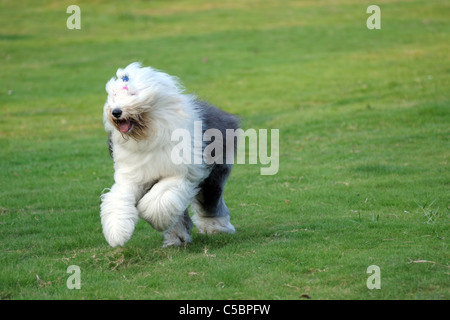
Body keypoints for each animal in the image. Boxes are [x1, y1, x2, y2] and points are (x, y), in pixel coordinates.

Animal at [98, 63, 239, 248]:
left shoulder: (178, 175)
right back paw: (176, 238)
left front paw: (148, 214)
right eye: (114, 96)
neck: (150, 135)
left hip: (214, 173)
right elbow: (119, 198)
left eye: (132, 94)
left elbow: (158, 201)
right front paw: (117, 232)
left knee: (210, 199)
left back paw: (216, 227)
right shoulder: (133, 175)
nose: (115, 112)